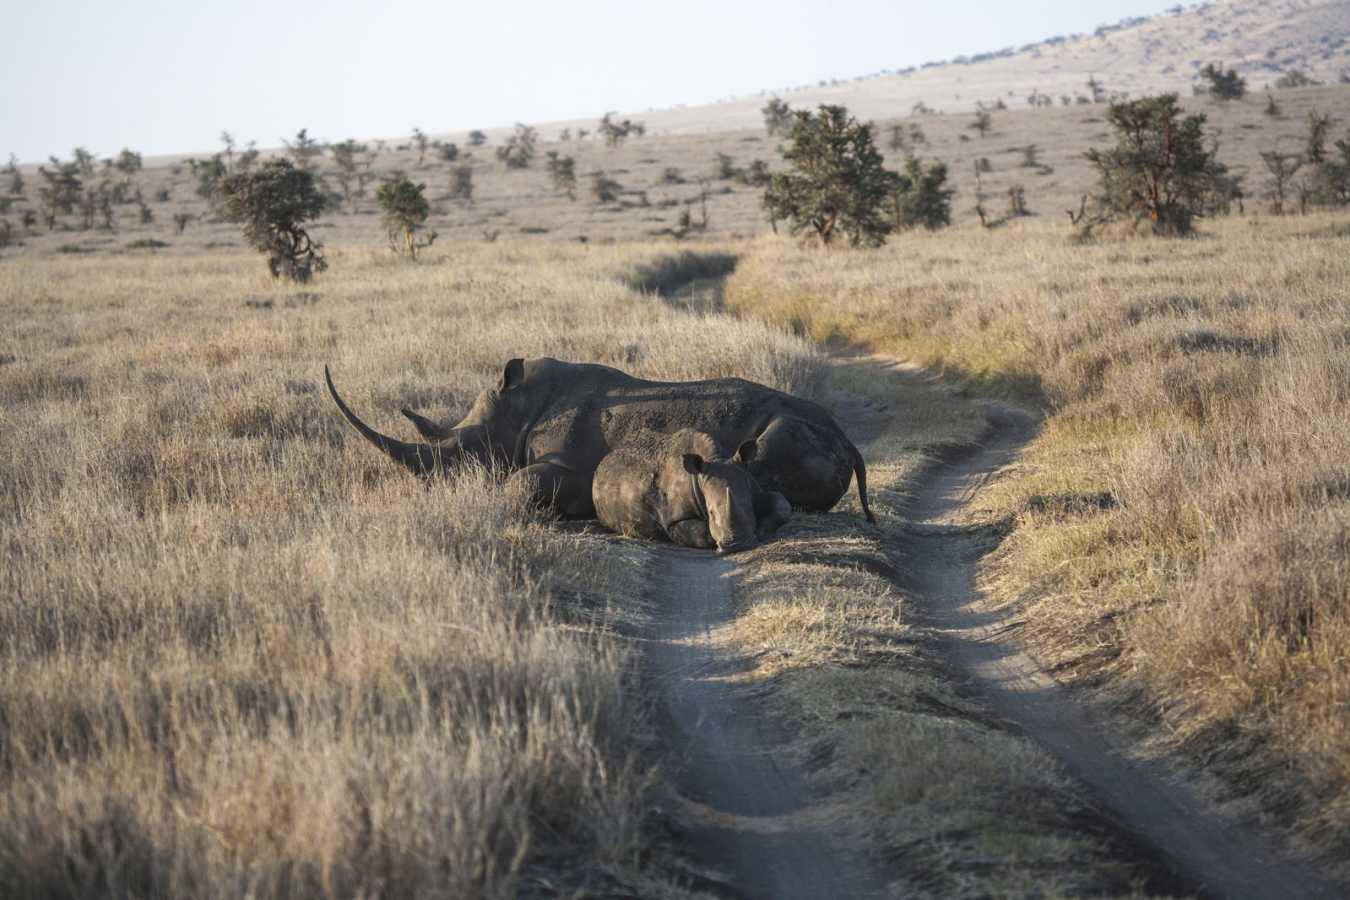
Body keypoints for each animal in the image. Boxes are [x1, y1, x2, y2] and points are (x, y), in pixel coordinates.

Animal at [324, 356, 873, 522]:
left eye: (460, 454)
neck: (518, 410)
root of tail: (849, 441)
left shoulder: (570, 465)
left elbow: (523, 483)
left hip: (792, 431)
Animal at [592, 429, 792, 553]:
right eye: (710, 513)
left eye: (749, 507)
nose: (738, 545)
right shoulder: (673, 519)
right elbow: (701, 532)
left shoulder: (750, 484)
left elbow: (780, 502)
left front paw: (762, 530)